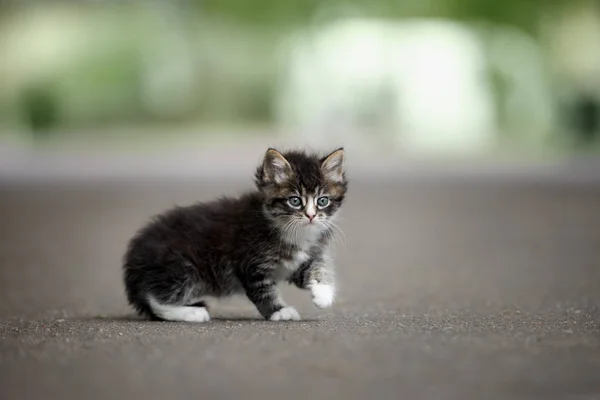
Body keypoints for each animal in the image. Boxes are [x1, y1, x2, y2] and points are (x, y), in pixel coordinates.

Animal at [122, 148, 346, 322]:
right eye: (295, 201)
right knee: (155, 299)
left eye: (323, 201)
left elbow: (318, 265)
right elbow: (264, 291)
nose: (311, 216)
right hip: (180, 267)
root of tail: (132, 260)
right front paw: (279, 311)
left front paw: (323, 293)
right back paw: (191, 313)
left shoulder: (294, 261)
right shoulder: (251, 262)